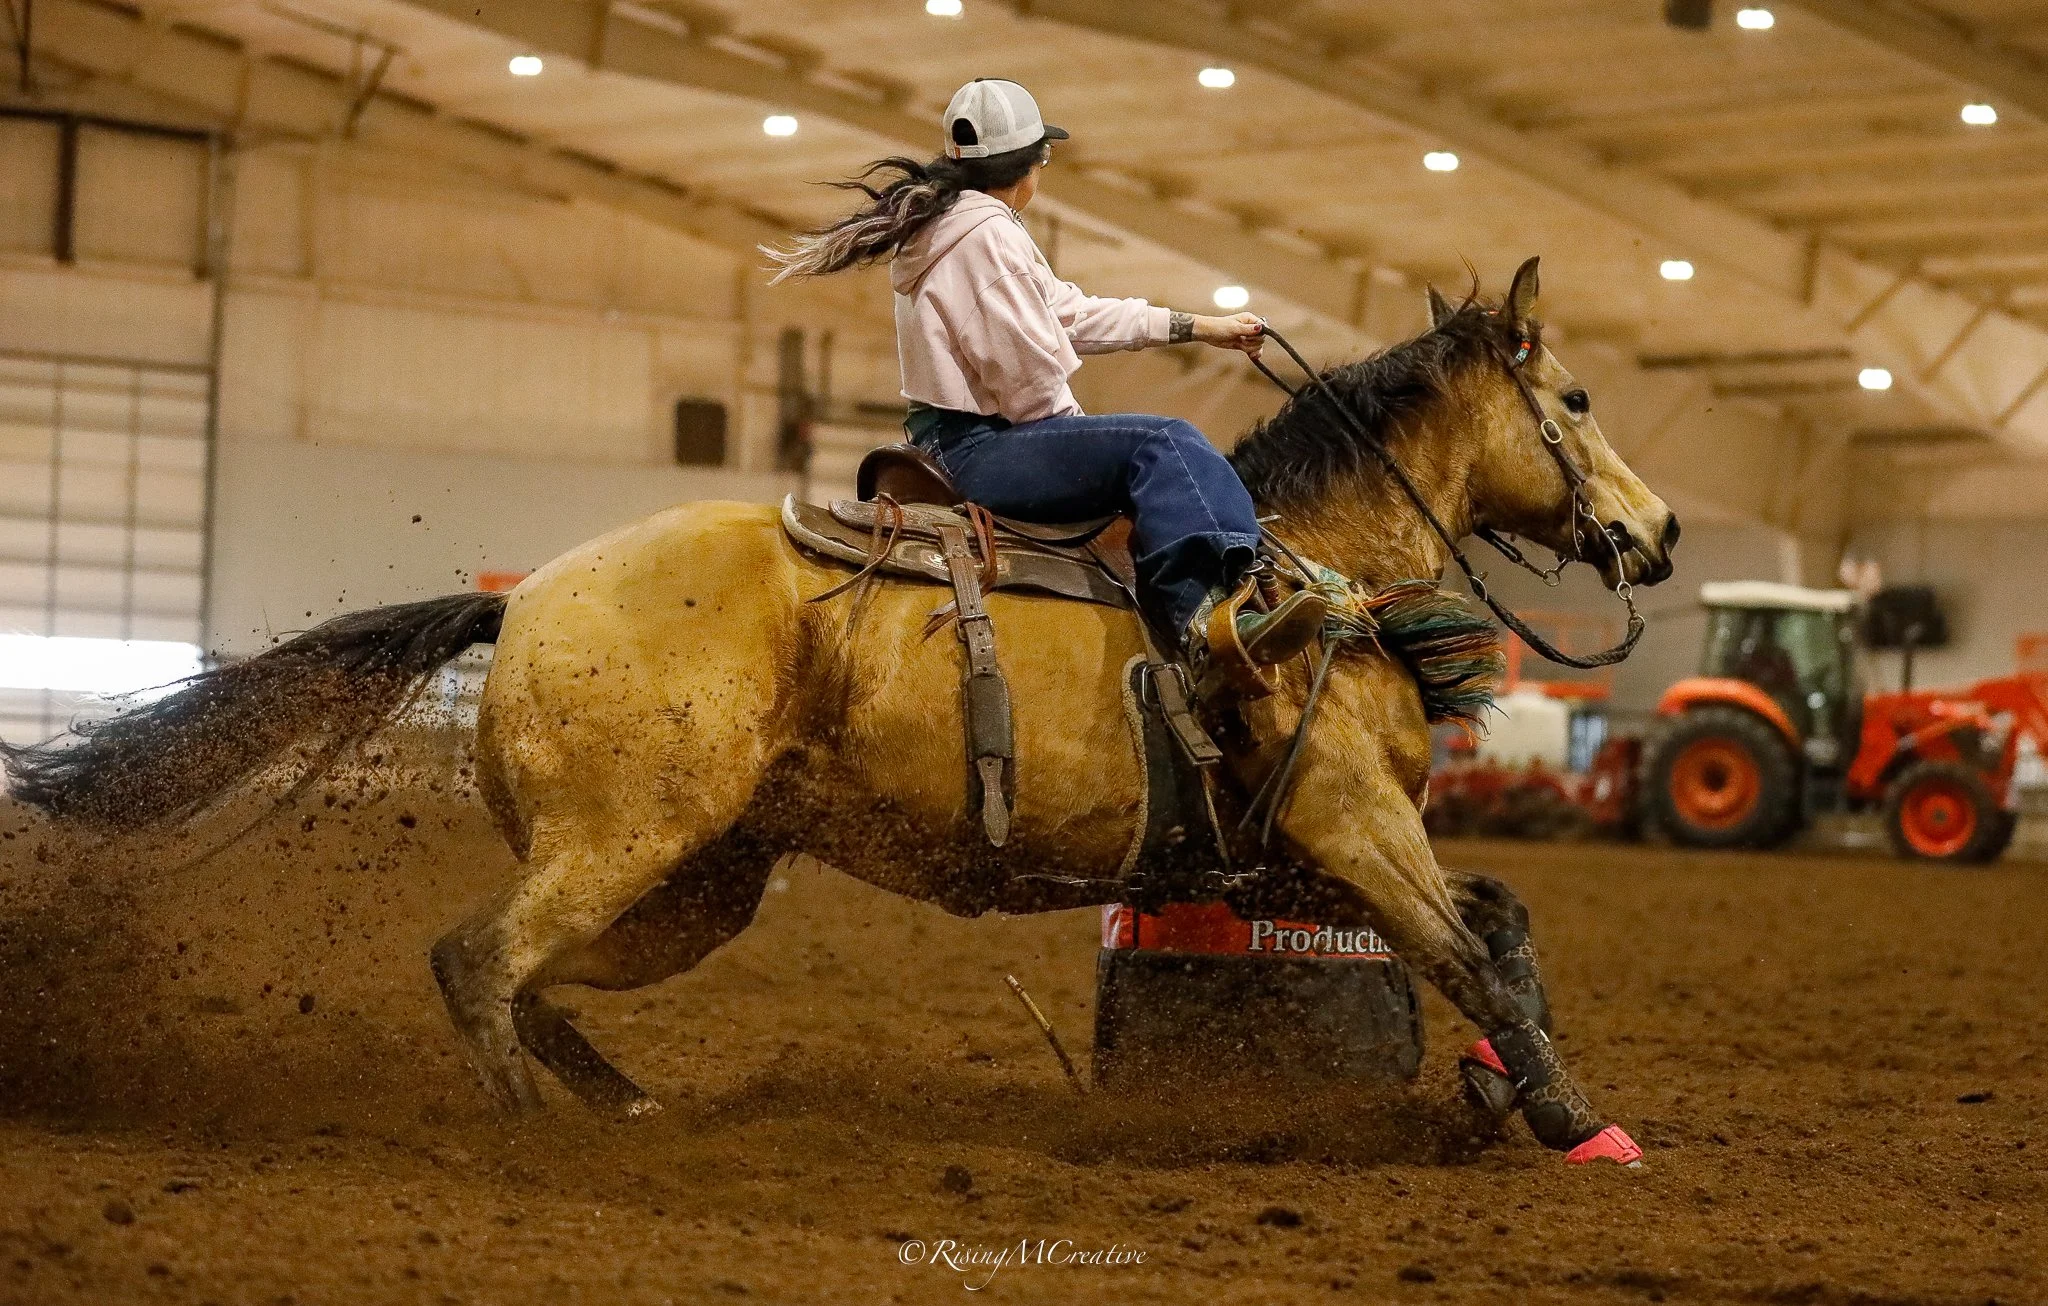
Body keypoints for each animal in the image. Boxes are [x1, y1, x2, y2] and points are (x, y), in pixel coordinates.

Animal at [2, 258, 1679, 1162]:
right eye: (1579, 400)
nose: (1657, 532)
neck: (1309, 570)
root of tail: (527, 597)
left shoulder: (1289, 847)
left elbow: (1500, 920)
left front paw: (1505, 1090)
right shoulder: (1348, 815)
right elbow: (1469, 947)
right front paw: (1573, 1112)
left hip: (700, 880)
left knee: (526, 976)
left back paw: (632, 1109)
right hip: (629, 842)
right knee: (477, 960)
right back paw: (539, 1140)